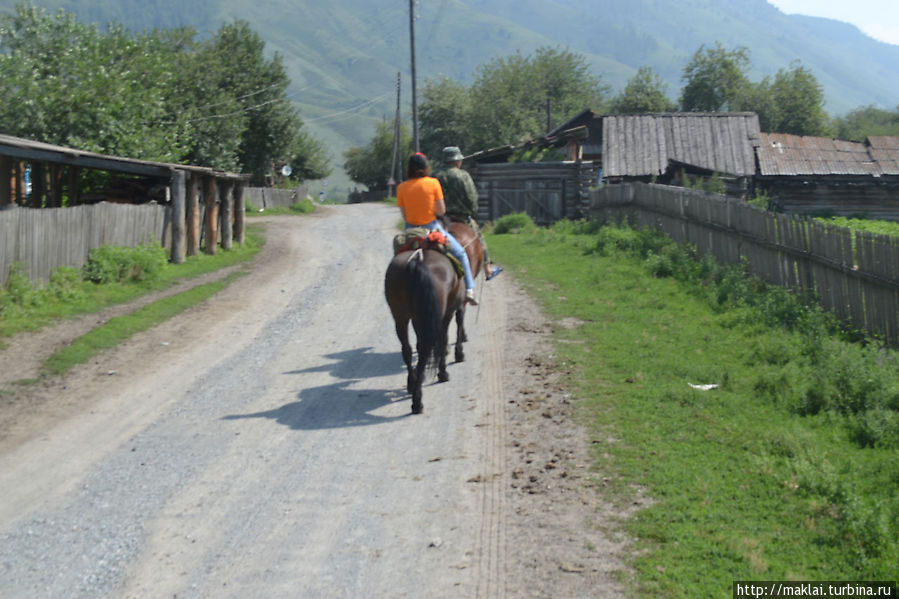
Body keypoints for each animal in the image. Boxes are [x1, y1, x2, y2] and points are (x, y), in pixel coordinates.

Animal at [384, 247, 464, 412]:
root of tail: (417, 261)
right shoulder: (447, 313)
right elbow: (443, 342)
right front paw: (443, 372)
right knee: (425, 350)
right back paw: (417, 401)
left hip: (400, 316)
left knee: (407, 350)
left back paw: (412, 383)